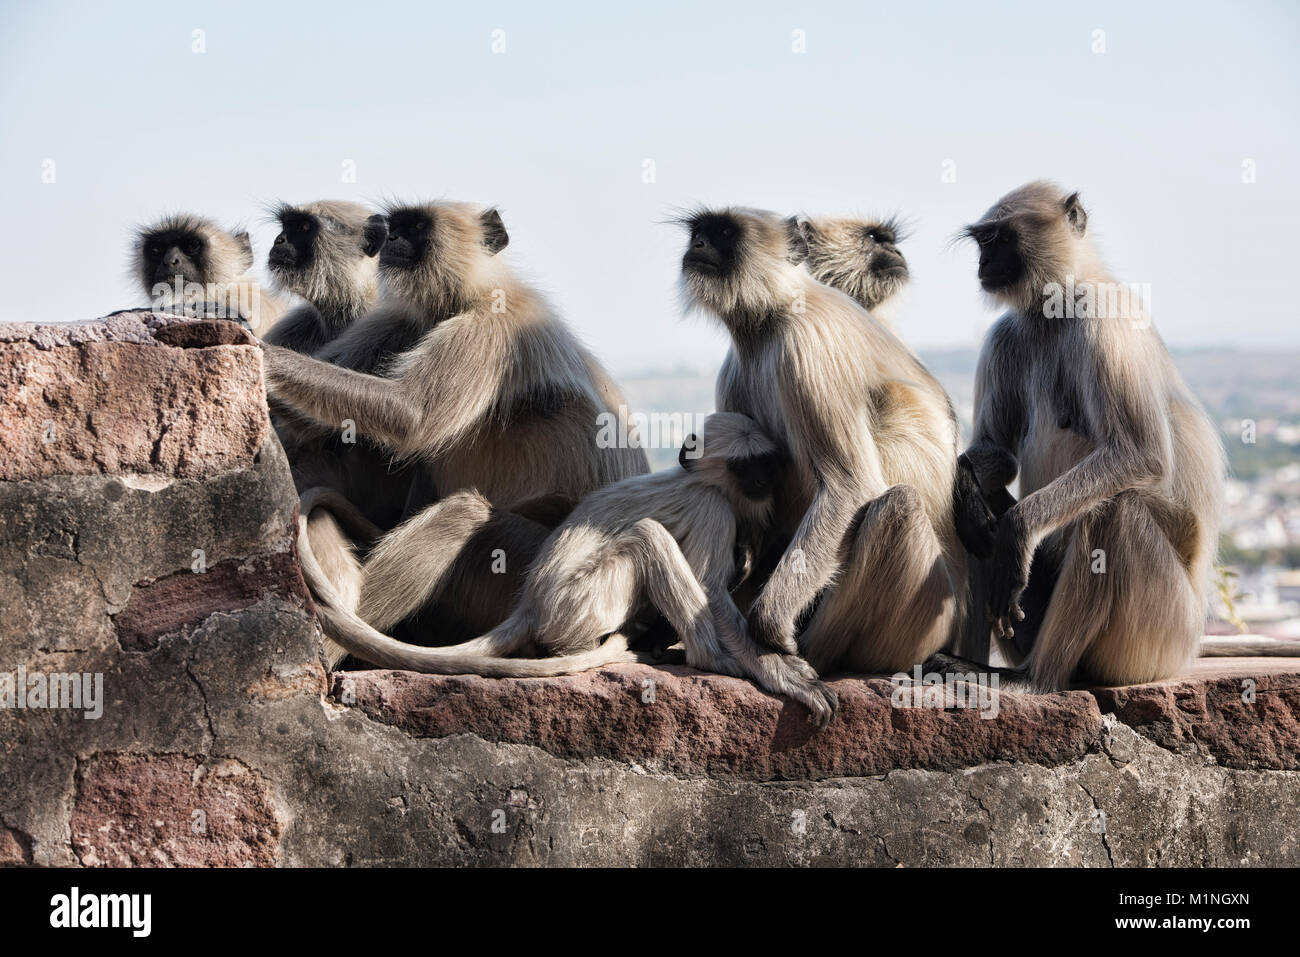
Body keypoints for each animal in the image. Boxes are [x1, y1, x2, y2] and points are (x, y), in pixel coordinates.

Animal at [299, 413, 837, 722]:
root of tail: (532, 604)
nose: (765, 481)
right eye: (746, 467)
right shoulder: (714, 507)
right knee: (648, 536)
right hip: (581, 602)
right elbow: (712, 591)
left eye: (766, 463)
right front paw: (774, 668)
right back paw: (708, 657)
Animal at [681, 208, 967, 670]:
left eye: (724, 233)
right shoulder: (735, 369)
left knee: (897, 507)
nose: (698, 247)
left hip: (921, 622)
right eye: (698, 235)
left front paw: (770, 628)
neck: (770, 321)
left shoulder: (808, 344)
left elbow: (849, 486)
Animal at [951, 180, 1222, 686]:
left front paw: (1018, 529)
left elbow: (1141, 455)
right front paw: (965, 489)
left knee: (1116, 511)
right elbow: (997, 456)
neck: (1057, 307)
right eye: (983, 243)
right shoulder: (1005, 335)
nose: (983, 264)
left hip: (1160, 636)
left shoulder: (1104, 319)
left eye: (1000, 240)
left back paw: (1031, 679)